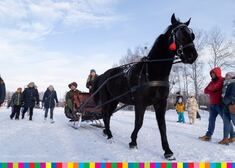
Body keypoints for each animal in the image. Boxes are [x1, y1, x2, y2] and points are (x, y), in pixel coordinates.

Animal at [92, 13, 197, 160]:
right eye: (179, 34)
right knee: (105, 115)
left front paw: (168, 151)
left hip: (115, 100)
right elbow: (139, 123)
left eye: (192, 35)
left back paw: (106, 132)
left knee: (108, 115)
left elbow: (162, 126)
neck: (153, 73)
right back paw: (109, 135)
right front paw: (133, 142)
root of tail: (103, 75)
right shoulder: (140, 103)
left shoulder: (161, 103)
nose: (193, 55)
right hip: (107, 100)